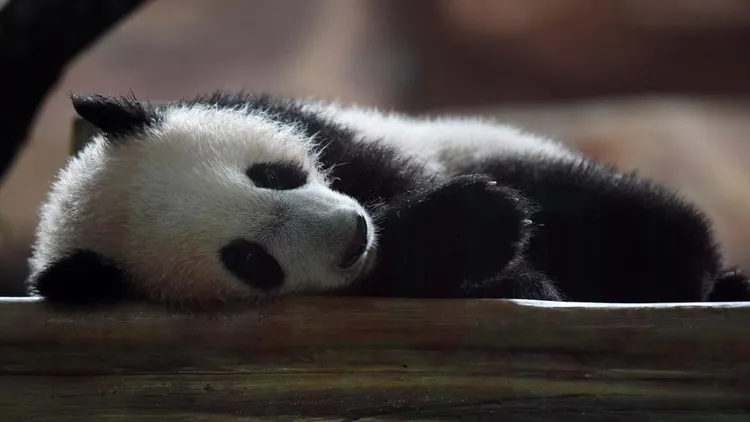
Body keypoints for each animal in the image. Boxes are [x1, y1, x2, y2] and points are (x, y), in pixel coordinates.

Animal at [26, 91, 750, 308]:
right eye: (250, 261)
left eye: (271, 175)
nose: (353, 234)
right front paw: (497, 257)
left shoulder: (333, 132)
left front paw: (485, 223)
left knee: (626, 216)